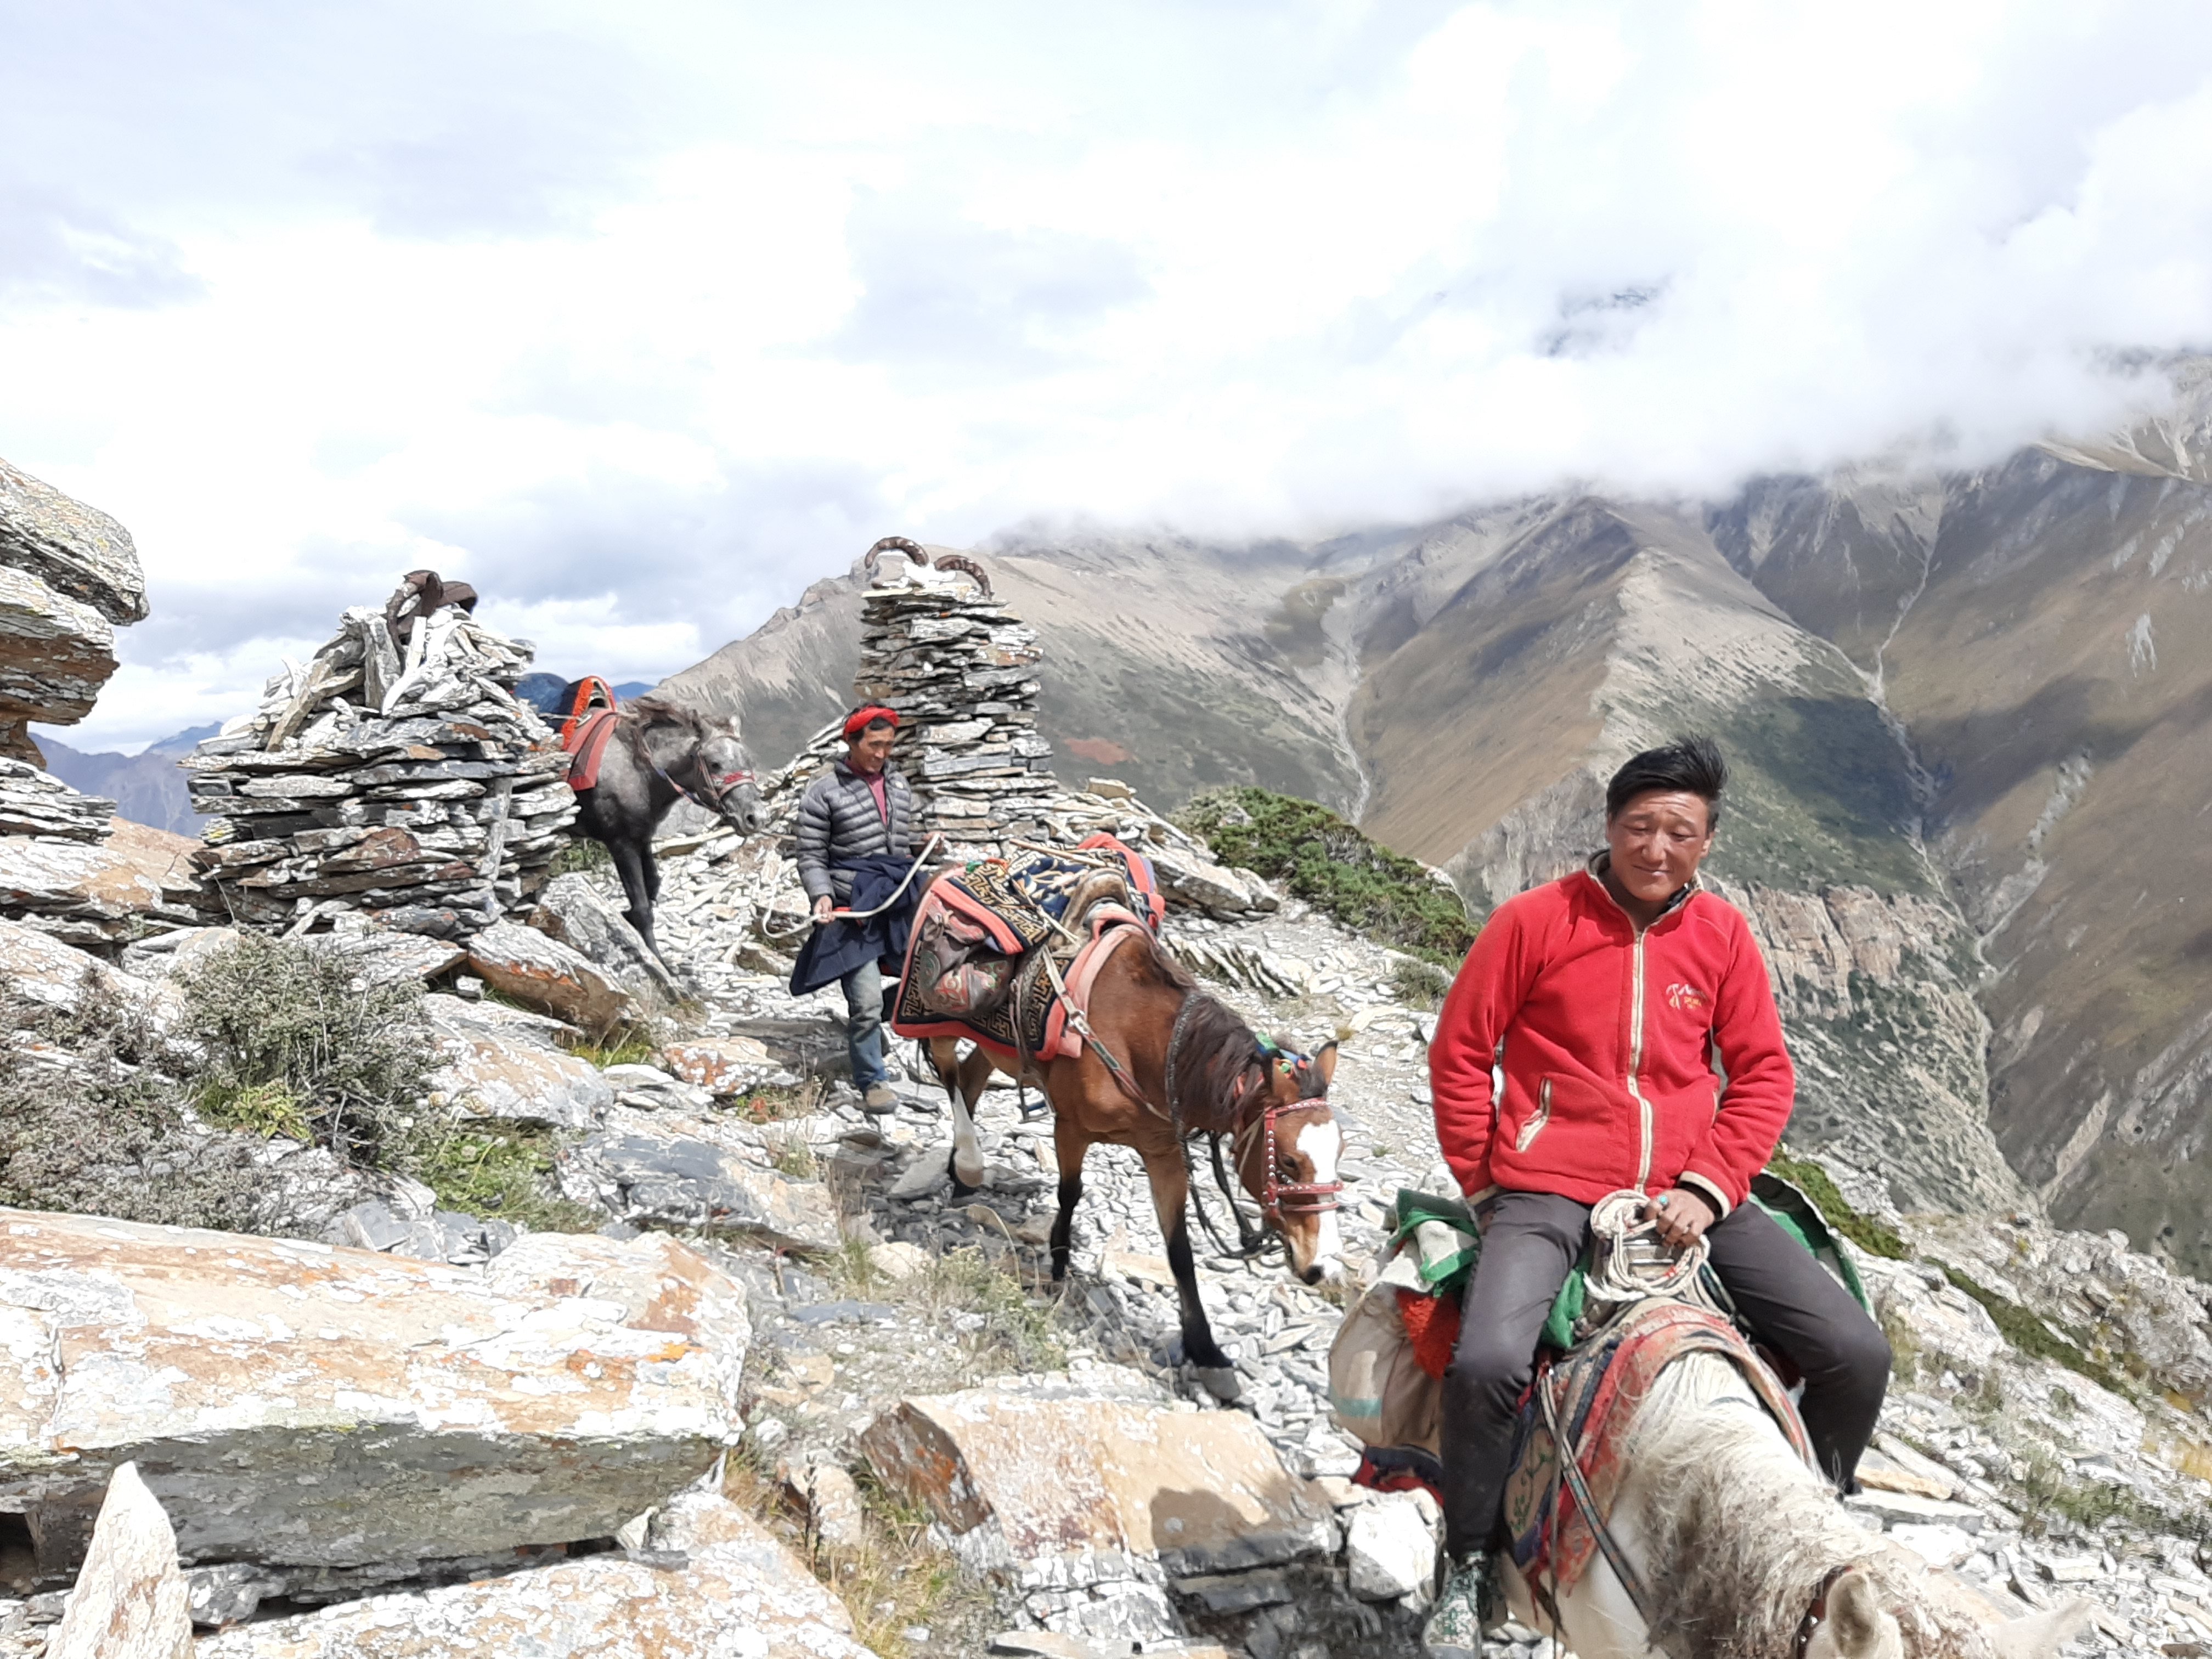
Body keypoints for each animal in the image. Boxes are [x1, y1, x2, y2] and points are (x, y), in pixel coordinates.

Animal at [920, 924, 1345, 1407]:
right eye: (1289, 1160)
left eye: (1340, 1153)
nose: (1323, 1266)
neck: (1143, 1045)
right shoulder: (1071, 1129)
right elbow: (1070, 1195)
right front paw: (1059, 1268)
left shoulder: (1162, 1153)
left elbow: (1179, 1252)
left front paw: (1207, 1352)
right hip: (938, 1022)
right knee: (949, 1072)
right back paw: (968, 1162)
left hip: (992, 1048)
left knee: (971, 1078)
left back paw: (960, 1175)